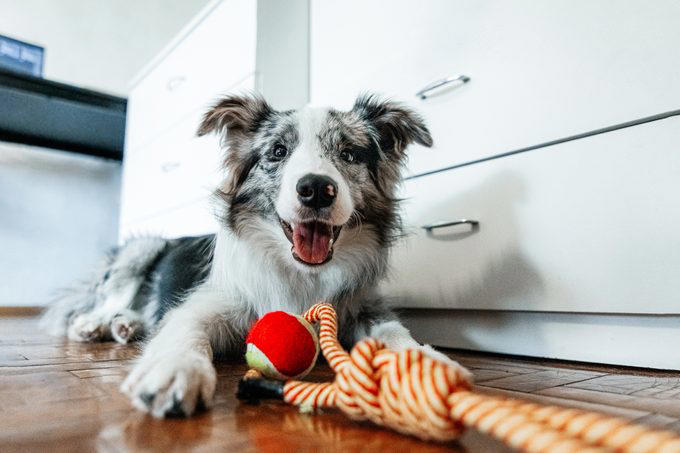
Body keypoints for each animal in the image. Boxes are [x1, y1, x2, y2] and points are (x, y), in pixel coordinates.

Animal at [39, 92, 470, 416]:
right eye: (278, 151)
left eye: (349, 154)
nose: (317, 189)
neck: (301, 274)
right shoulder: (209, 302)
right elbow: (184, 328)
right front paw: (175, 370)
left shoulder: (362, 306)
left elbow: (395, 330)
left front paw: (425, 365)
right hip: (143, 248)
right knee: (101, 302)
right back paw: (97, 324)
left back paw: (126, 325)